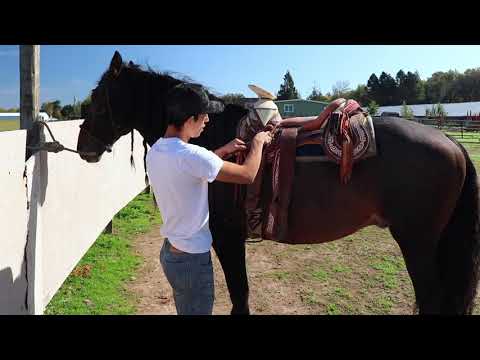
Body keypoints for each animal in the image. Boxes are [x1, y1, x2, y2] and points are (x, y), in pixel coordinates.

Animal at [78, 51, 480, 316]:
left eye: (97, 99)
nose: (83, 147)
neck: (210, 136)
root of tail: (453, 143)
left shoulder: (226, 237)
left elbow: (240, 296)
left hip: (417, 242)